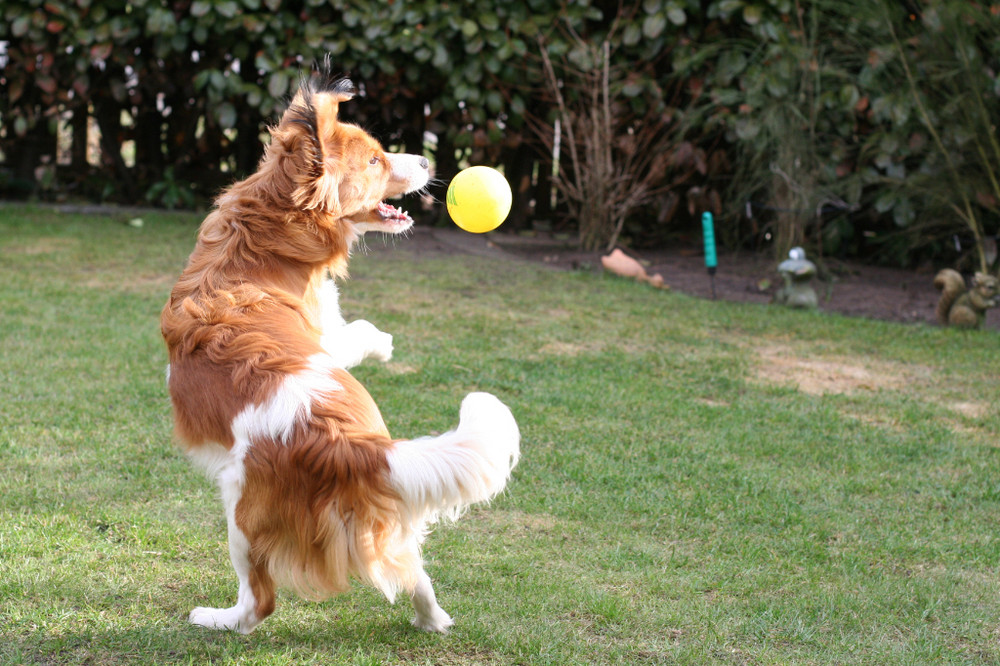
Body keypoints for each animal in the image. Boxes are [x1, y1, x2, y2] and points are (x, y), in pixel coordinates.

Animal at [160, 68, 520, 632]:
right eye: (374, 160)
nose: (428, 161)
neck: (263, 237)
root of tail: (348, 445)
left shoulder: (325, 331)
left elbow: (358, 330)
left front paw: (382, 346)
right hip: (379, 519)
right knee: (411, 569)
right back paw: (432, 620)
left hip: (239, 507)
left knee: (258, 602)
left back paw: (215, 619)